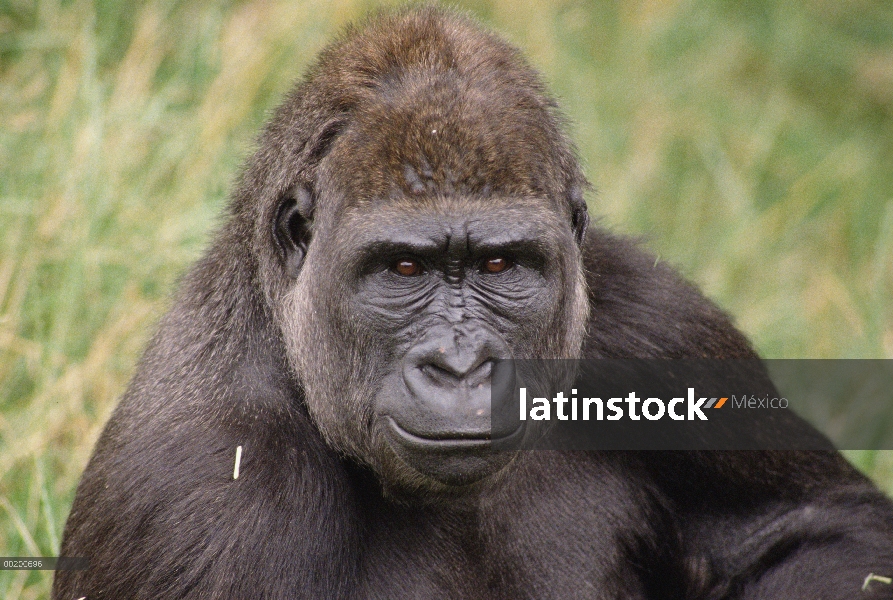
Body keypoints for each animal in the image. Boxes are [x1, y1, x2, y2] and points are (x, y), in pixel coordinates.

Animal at [55, 5, 892, 600]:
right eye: (402, 268)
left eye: (497, 263)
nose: (459, 367)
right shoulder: (205, 496)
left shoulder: (660, 324)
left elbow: (824, 531)